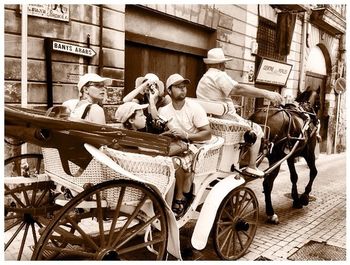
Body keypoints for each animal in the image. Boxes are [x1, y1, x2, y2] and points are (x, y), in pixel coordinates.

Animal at [247, 88, 322, 223]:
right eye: (319, 102)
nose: (317, 120)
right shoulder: (309, 153)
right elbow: (314, 172)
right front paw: (304, 197)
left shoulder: (290, 156)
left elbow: (294, 176)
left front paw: (296, 199)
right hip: (275, 159)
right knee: (267, 184)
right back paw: (271, 213)